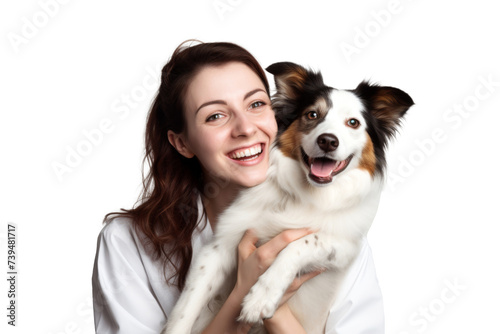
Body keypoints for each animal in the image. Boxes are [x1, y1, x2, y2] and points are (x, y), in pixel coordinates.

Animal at [162, 61, 412, 332]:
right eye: (312, 115)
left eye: (353, 122)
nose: (327, 141)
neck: (304, 194)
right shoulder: (220, 246)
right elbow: (186, 307)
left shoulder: (344, 246)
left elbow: (300, 243)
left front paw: (260, 297)